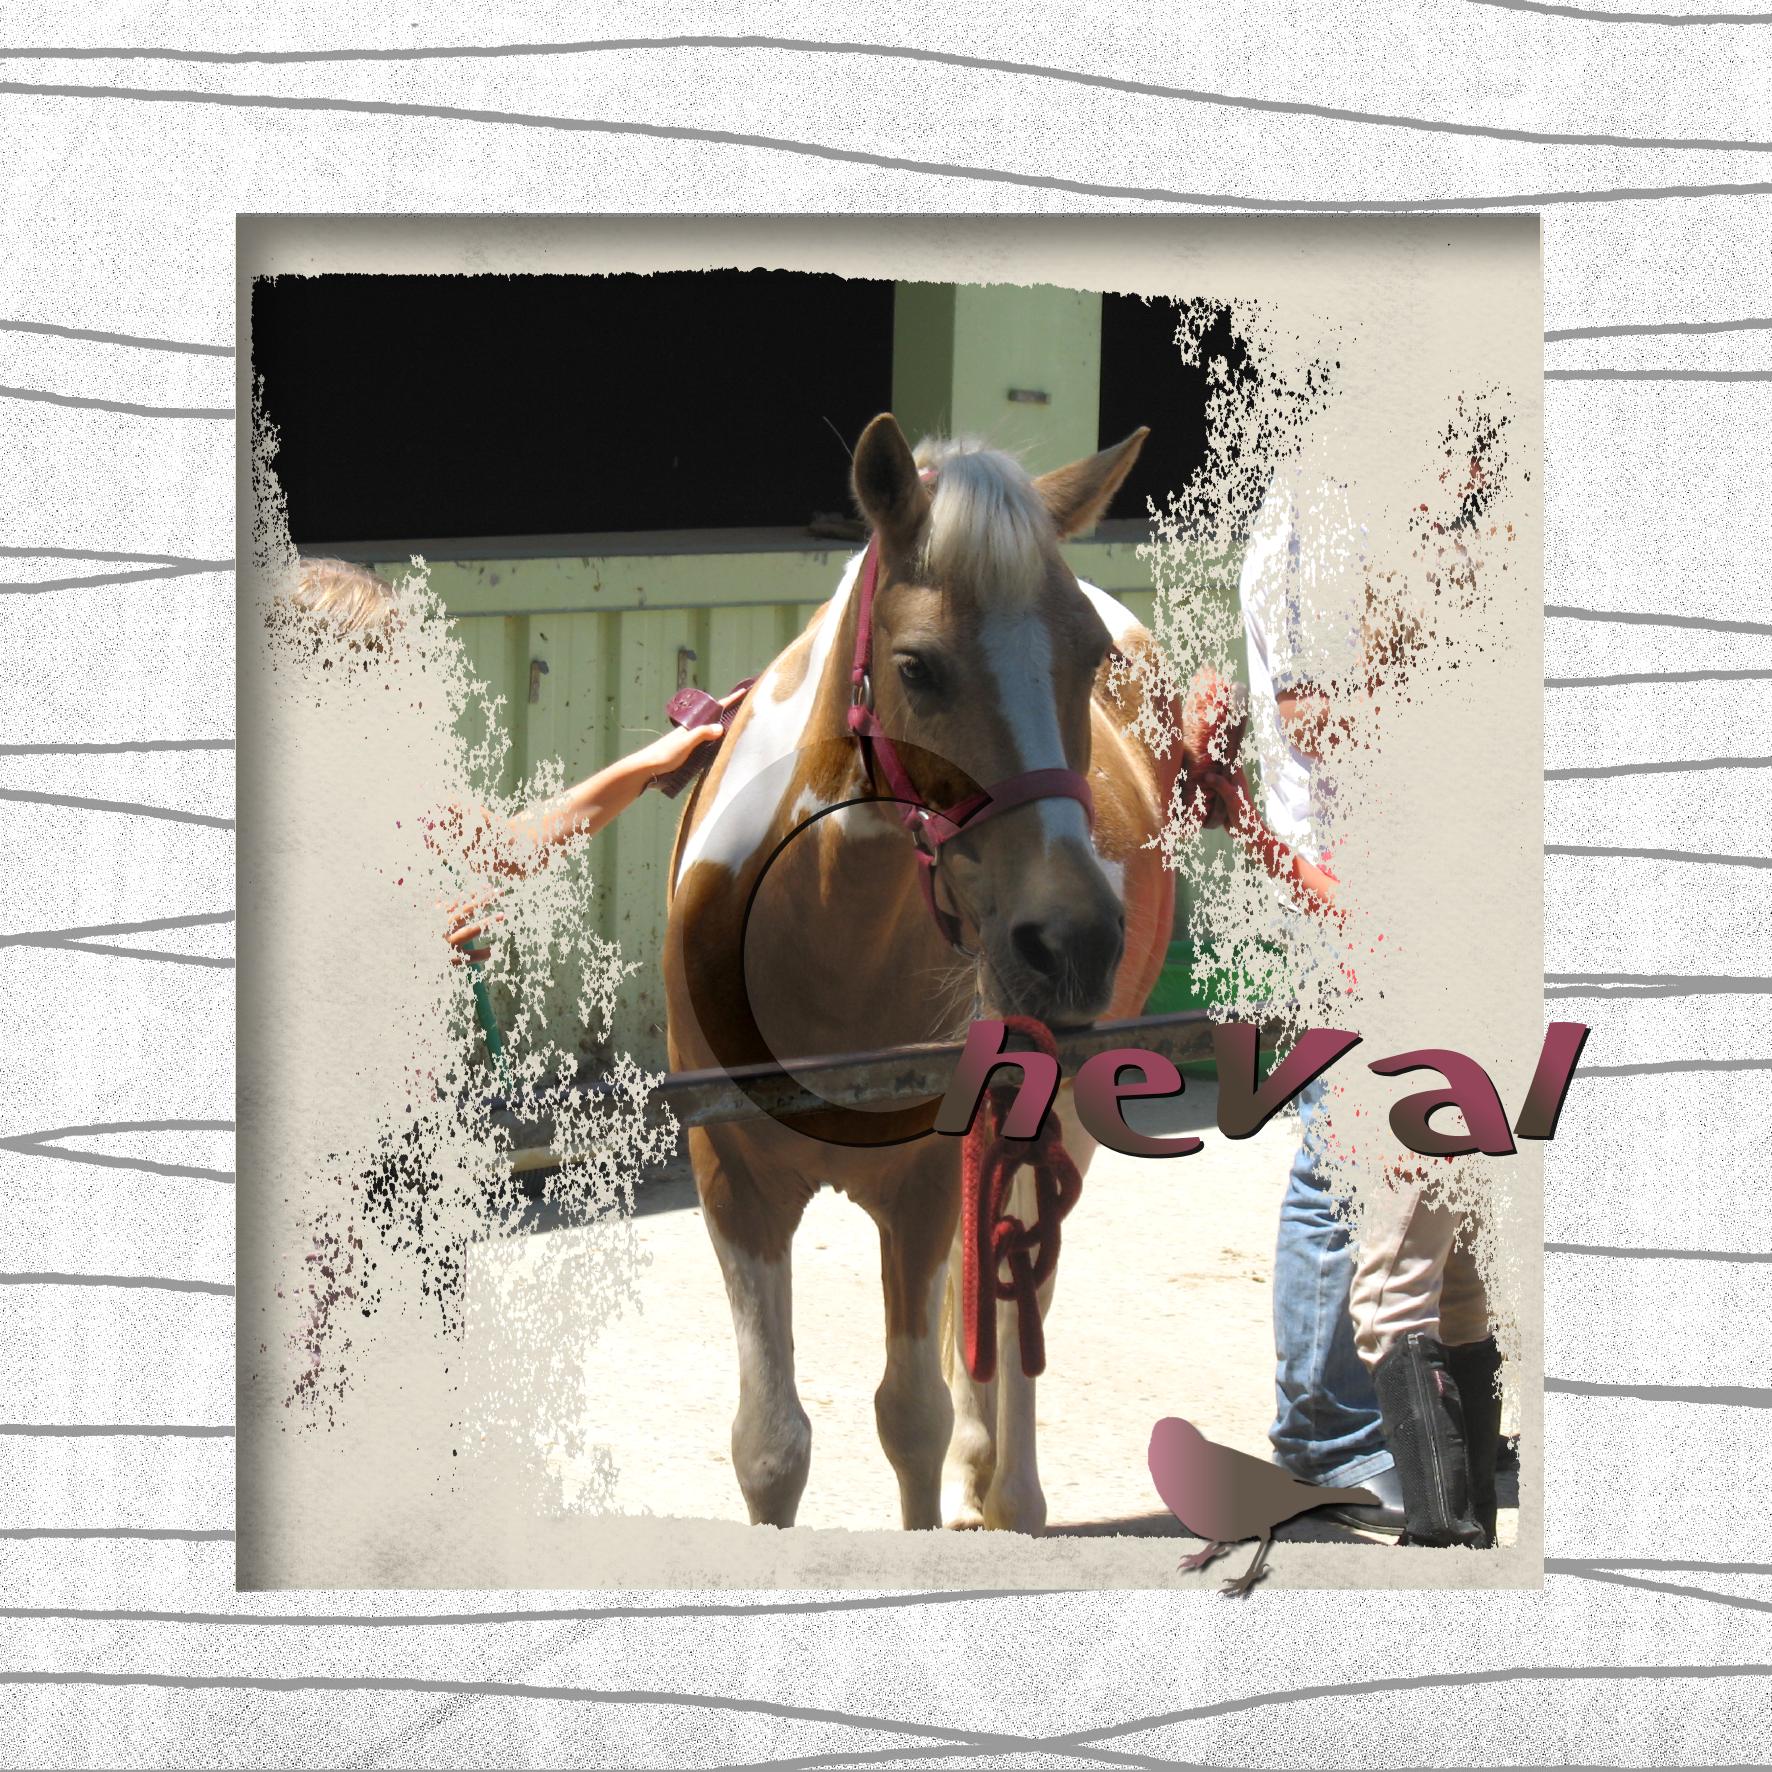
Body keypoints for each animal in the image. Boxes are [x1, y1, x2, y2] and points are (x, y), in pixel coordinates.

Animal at [662, 414, 1179, 1532]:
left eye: (1089, 658)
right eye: (918, 666)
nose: (1073, 941)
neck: (819, 937)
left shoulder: (922, 1181)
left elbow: (911, 1417)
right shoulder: (733, 1178)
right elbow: (770, 1448)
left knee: (1021, 1281)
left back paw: (1010, 1485)